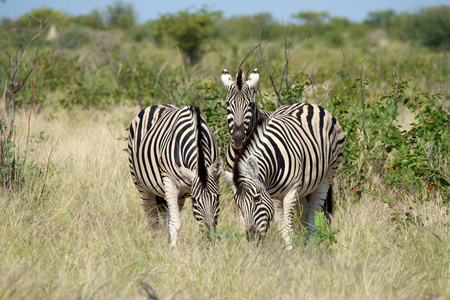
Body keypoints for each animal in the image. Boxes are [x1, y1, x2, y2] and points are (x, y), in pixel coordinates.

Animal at [127, 104, 222, 247]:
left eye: (217, 197)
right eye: (194, 200)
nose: (210, 235)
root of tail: (158, 105)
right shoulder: (169, 182)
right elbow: (175, 223)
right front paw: (174, 249)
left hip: (181, 193)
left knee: (165, 219)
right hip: (141, 184)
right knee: (153, 219)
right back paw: (153, 243)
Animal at [221, 102, 344, 248]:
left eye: (256, 199)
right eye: (238, 205)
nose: (252, 238)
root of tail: (309, 104)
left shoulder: (290, 192)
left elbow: (287, 229)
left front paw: (290, 251)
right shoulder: (273, 196)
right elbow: (281, 226)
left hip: (326, 177)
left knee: (313, 216)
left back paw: (312, 246)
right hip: (304, 188)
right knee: (305, 214)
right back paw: (306, 245)